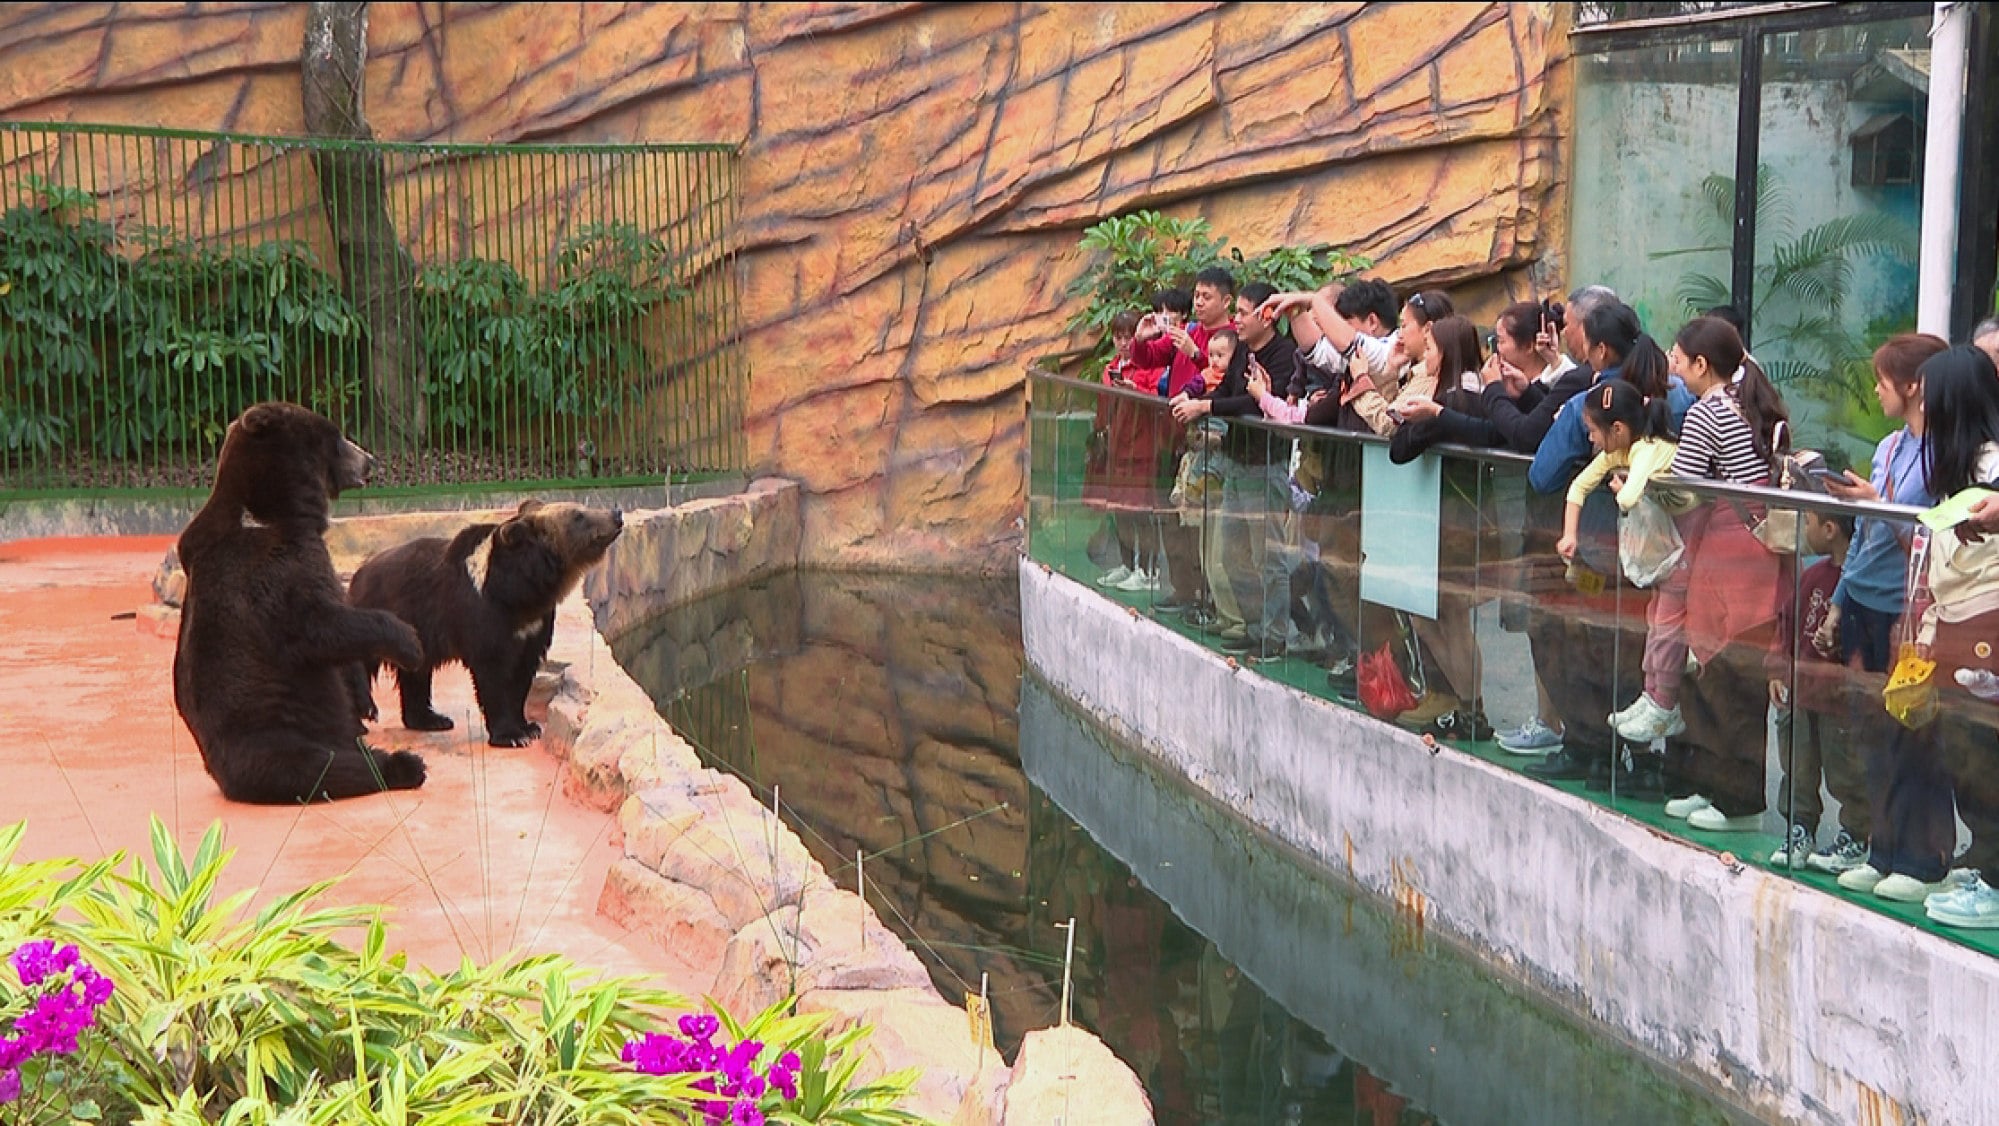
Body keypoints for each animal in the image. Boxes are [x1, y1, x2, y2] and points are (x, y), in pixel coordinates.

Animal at [172, 402, 428, 804]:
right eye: (337, 437)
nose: (369, 460)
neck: (279, 510)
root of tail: (224, 779)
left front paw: (365, 700)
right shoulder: (275, 571)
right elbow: (320, 625)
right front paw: (410, 643)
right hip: (276, 739)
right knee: (327, 768)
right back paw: (403, 764)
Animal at [346, 500, 624, 747]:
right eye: (579, 515)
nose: (616, 513)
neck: (519, 591)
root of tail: (360, 571)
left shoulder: (534, 625)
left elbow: (523, 671)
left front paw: (528, 727)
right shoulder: (484, 615)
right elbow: (494, 671)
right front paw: (511, 735)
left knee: (417, 672)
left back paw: (432, 719)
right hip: (382, 613)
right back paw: (361, 716)